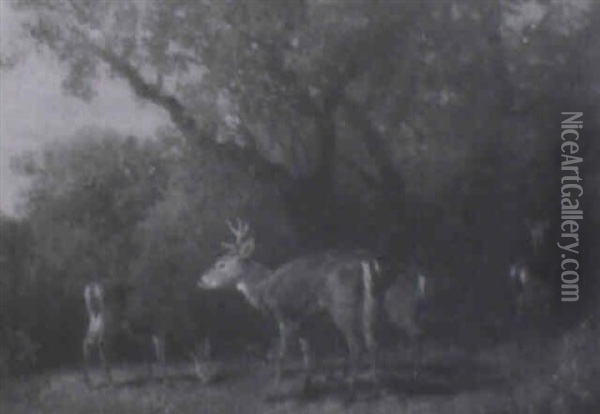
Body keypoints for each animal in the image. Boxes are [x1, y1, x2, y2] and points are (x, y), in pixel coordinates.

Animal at [199, 220, 382, 392]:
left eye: (221, 264)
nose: (201, 279)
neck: (264, 288)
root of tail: (364, 262)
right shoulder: (303, 317)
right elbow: (307, 352)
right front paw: (307, 384)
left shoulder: (284, 314)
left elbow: (281, 354)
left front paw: (275, 387)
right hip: (369, 303)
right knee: (372, 342)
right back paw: (375, 383)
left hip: (342, 303)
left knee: (356, 345)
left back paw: (352, 385)